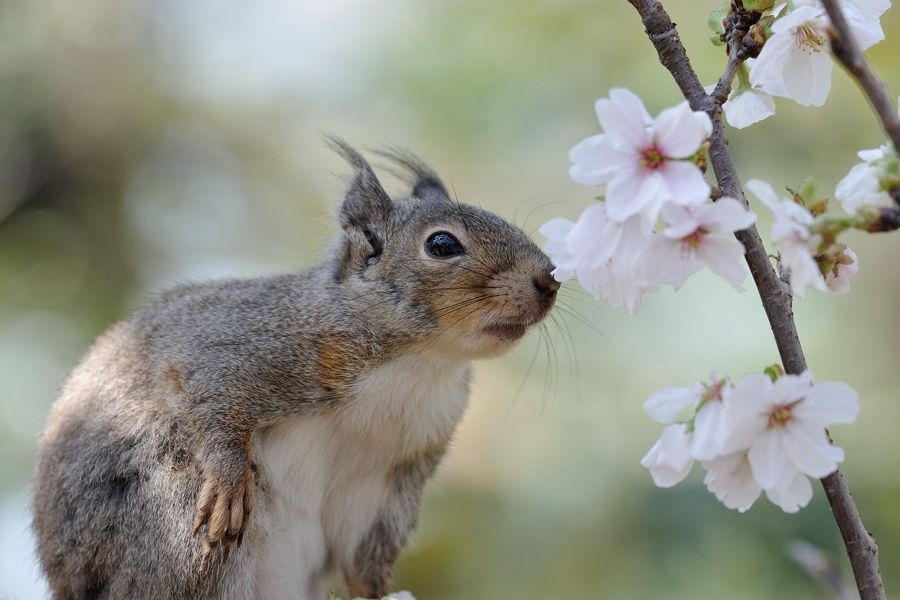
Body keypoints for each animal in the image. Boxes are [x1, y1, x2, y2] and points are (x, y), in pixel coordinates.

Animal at [31, 139, 560, 600]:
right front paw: (228, 482)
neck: (420, 363)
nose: (549, 279)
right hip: (171, 526)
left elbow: (364, 557)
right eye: (443, 244)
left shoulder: (390, 481)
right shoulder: (239, 349)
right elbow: (212, 401)